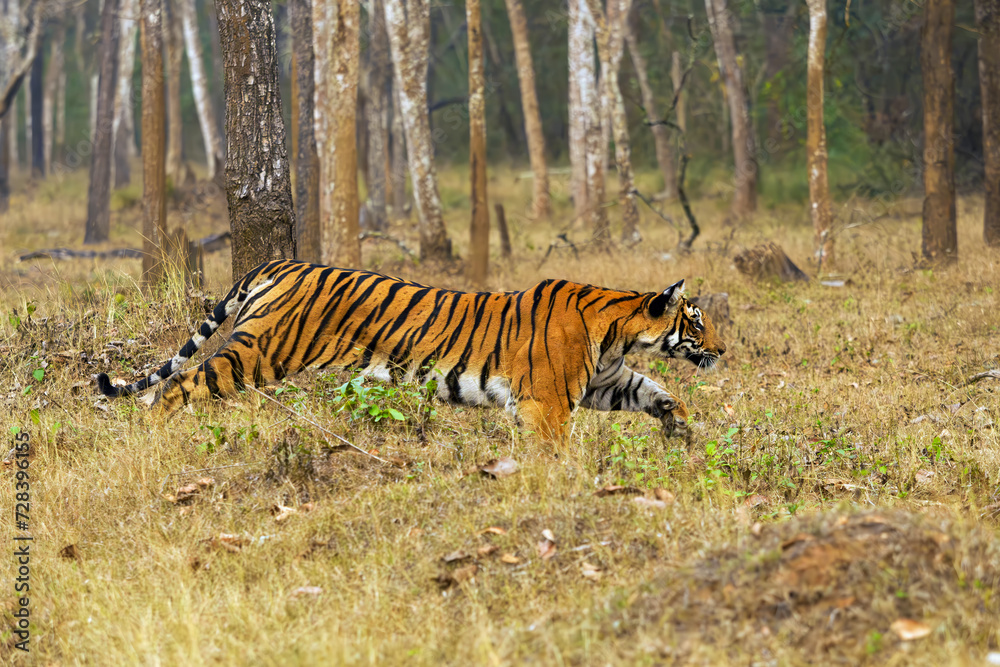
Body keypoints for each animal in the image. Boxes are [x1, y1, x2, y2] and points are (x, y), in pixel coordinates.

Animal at [97, 260, 727, 441]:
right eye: (697, 321)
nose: (723, 350)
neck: (618, 330)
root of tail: (276, 263)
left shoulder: (605, 381)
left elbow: (655, 390)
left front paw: (680, 426)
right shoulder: (547, 399)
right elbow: (553, 450)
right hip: (257, 352)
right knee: (179, 385)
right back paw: (151, 439)